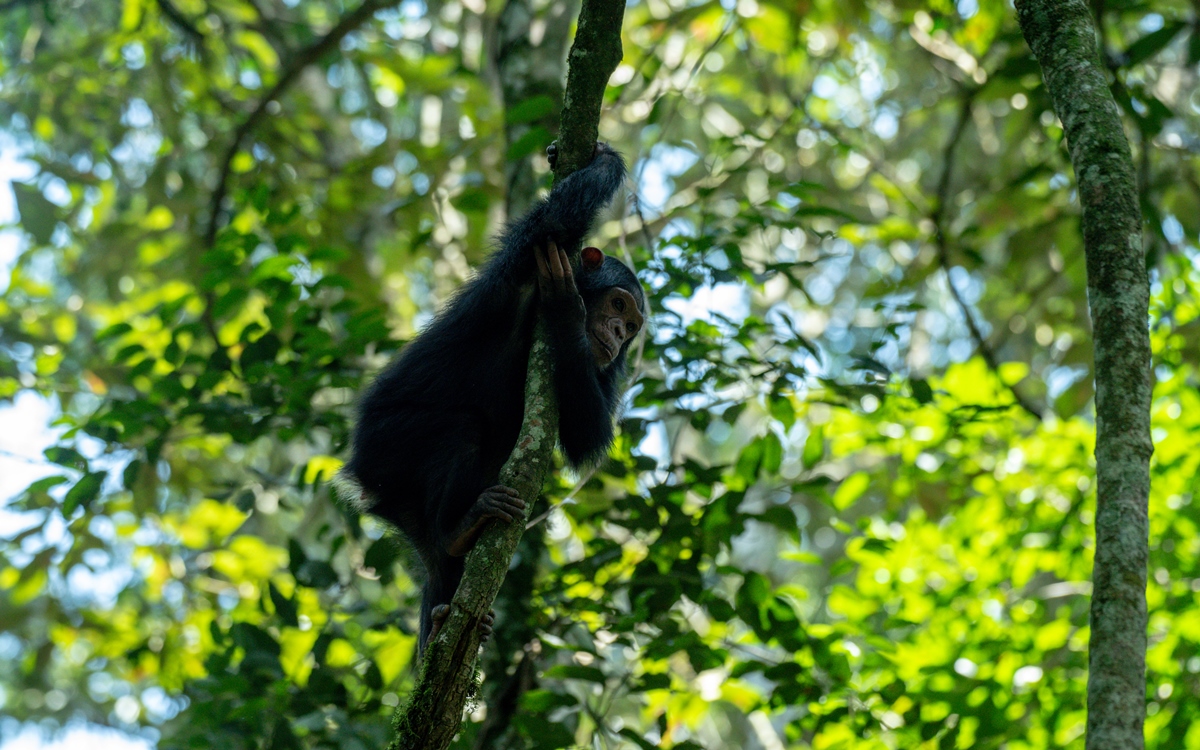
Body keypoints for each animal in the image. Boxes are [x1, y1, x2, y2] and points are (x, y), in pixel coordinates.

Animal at [345, 143, 648, 648]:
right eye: (619, 304)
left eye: (631, 325)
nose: (620, 332)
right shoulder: (527, 260)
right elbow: (558, 218)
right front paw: (604, 159)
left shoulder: (604, 367)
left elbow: (586, 433)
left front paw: (565, 312)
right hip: (382, 447)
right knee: (462, 431)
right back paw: (459, 528)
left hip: (403, 509)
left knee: (436, 564)